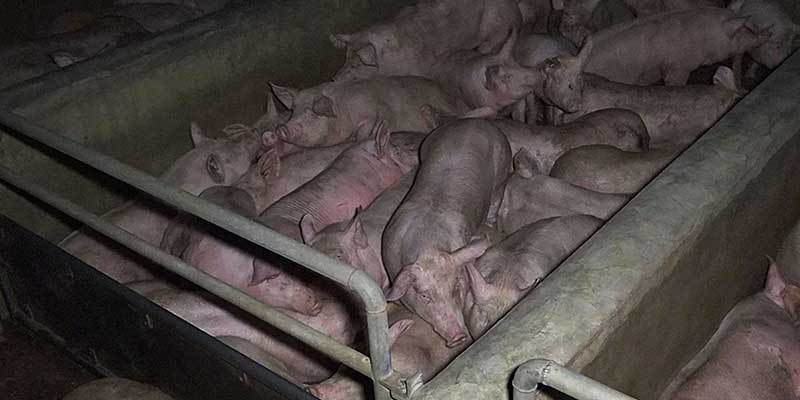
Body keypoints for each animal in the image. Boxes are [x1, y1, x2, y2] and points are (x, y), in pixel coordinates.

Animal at [270, 77, 462, 148]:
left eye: (312, 112)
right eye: (293, 112)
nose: (280, 129)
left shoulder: (370, 112)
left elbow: (365, 129)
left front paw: (360, 139)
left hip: (441, 100)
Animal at [382, 119, 512, 347]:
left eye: (456, 288)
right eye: (425, 296)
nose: (459, 337)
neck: (427, 245)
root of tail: (474, 121)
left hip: (502, 172)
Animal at [429, 30, 592, 114]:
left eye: (581, 84)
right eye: (566, 83)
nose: (577, 106)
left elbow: (556, 115)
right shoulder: (530, 94)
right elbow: (531, 108)